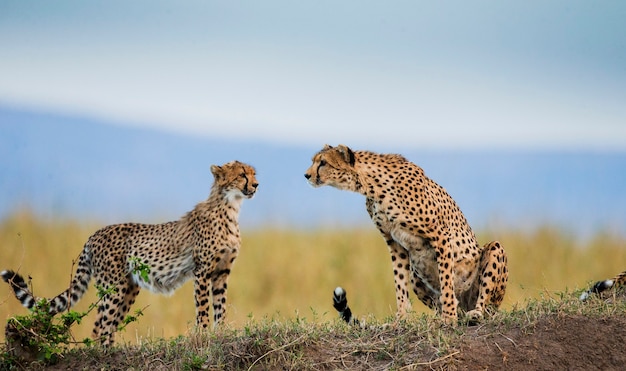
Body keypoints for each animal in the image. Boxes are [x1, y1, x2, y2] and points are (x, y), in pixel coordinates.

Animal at [1, 161, 258, 348]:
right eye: (242, 174)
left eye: (253, 173)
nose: (256, 185)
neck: (230, 207)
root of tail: (95, 233)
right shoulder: (202, 271)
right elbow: (204, 309)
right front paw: (204, 337)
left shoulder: (222, 272)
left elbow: (220, 306)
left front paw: (221, 333)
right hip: (114, 287)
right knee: (102, 325)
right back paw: (105, 355)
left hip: (128, 287)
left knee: (105, 324)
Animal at [306, 145, 508, 326]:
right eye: (315, 161)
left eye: (323, 163)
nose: (306, 175)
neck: (372, 185)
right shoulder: (394, 243)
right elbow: (400, 282)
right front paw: (401, 319)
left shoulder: (440, 236)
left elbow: (446, 282)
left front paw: (449, 317)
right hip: (416, 275)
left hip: (495, 251)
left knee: (485, 306)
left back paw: (473, 313)